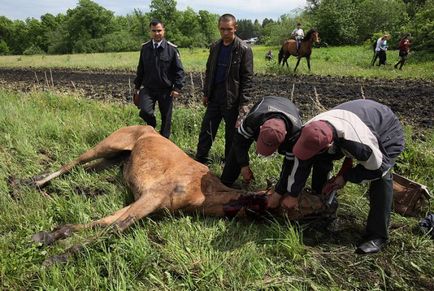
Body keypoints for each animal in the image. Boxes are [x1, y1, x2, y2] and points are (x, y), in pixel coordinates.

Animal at [31, 125, 336, 264]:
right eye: (305, 198)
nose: (330, 205)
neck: (203, 193)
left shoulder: (150, 203)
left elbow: (105, 222)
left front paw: (52, 235)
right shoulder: (152, 196)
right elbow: (115, 227)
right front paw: (58, 256)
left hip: (113, 159)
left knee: (83, 168)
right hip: (107, 145)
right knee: (71, 163)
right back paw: (32, 182)